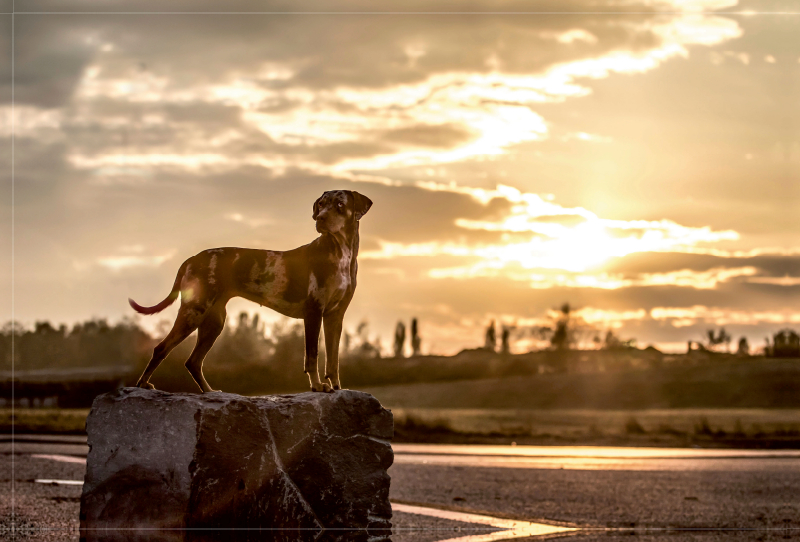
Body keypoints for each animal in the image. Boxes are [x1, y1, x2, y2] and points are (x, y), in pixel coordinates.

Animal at [128, 191, 372, 396]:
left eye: (339, 204)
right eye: (321, 204)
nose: (320, 218)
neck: (341, 254)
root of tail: (191, 260)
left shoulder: (334, 316)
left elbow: (334, 360)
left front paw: (337, 386)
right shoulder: (314, 311)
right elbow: (312, 355)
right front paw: (318, 386)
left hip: (214, 322)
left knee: (193, 361)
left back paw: (209, 391)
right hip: (194, 312)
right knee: (161, 348)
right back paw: (143, 384)